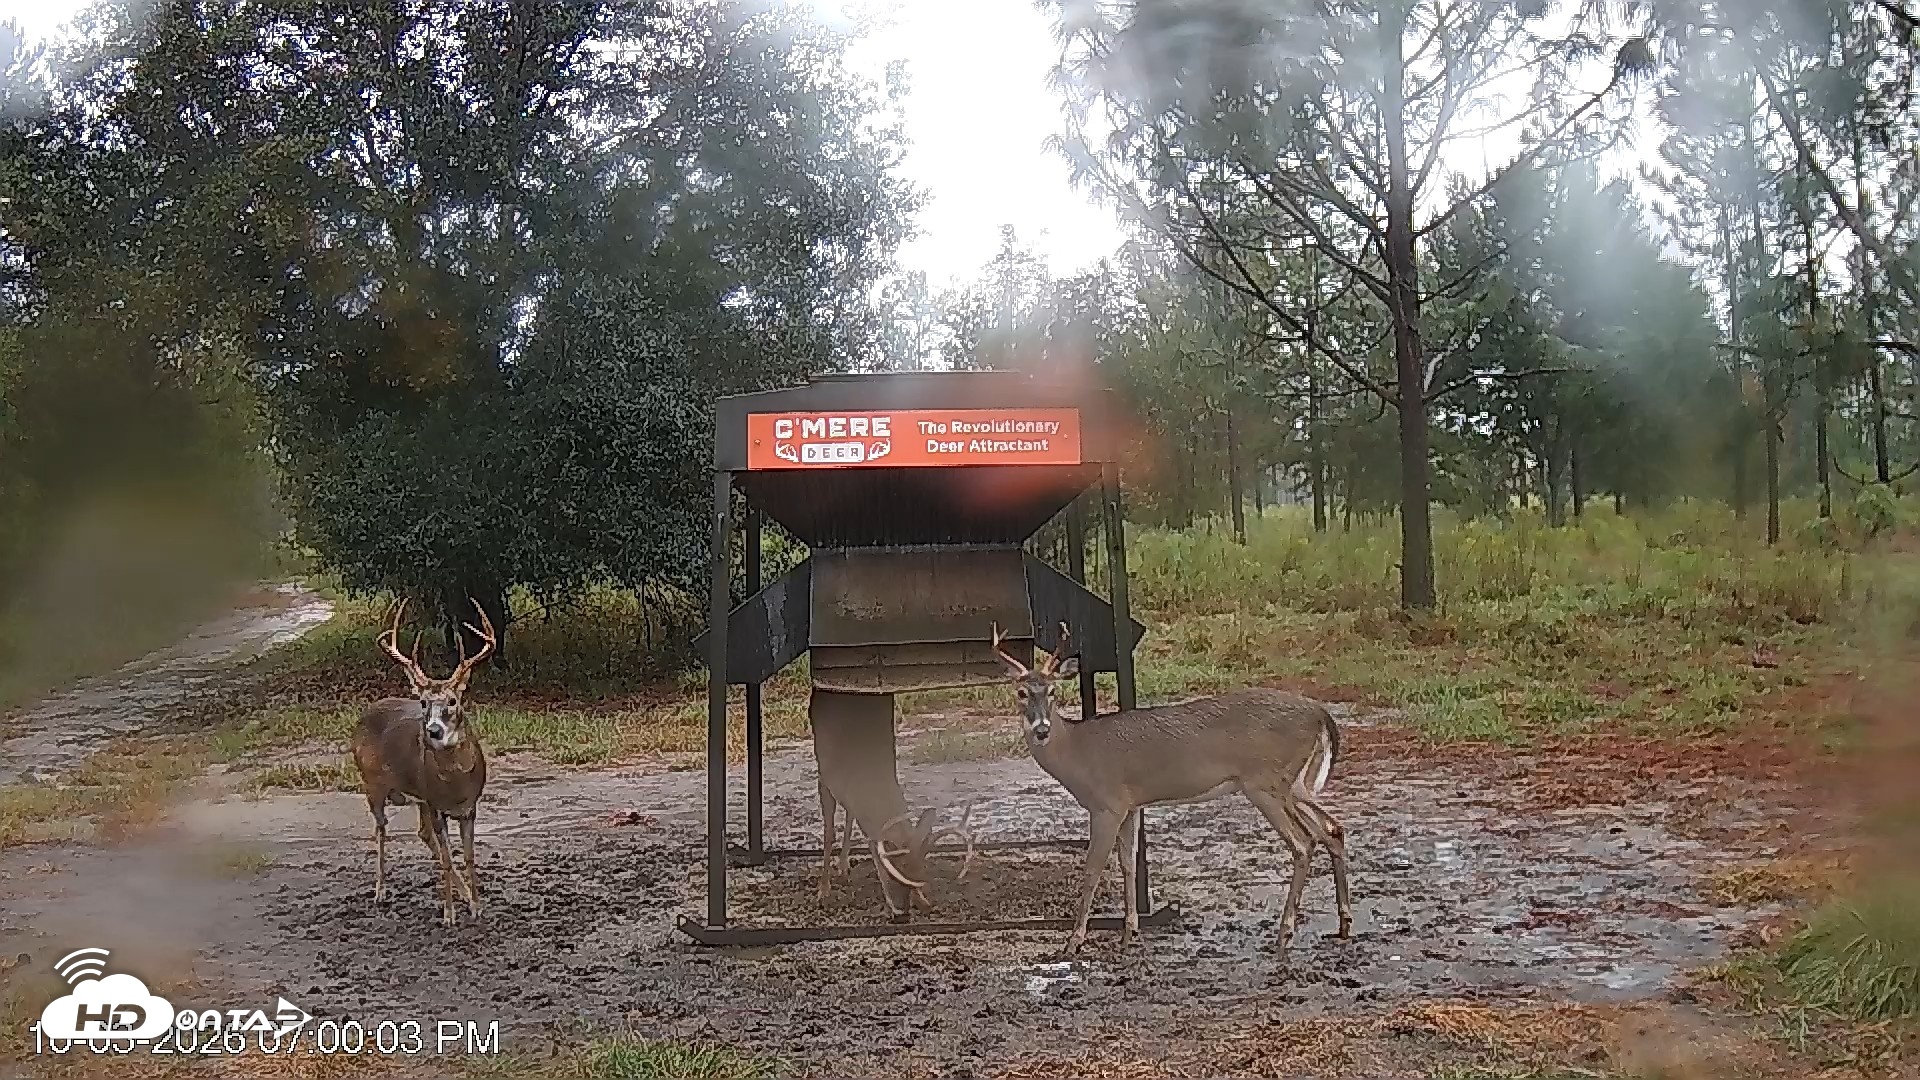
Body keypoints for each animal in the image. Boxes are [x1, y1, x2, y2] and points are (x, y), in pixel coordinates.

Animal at [352, 597, 495, 927]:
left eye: (453, 701)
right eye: (423, 703)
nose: (433, 730)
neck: (455, 786)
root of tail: (364, 713)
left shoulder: (468, 807)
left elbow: (468, 856)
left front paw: (476, 905)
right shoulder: (434, 803)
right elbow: (447, 859)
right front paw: (449, 914)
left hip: (416, 797)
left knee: (421, 833)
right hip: (372, 784)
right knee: (381, 829)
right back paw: (380, 890)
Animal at [809, 688, 976, 917]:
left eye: (921, 870)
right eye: (896, 871)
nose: (904, 911)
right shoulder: (824, 777)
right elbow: (828, 835)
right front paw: (823, 892)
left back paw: (844, 866)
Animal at [990, 622, 1352, 958]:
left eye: (1052, 691)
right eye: (1021, 693)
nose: (1041, 730)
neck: (1077, 753)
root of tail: (1320, 713)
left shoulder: (1106, 803)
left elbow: (1093, 868)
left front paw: (1074, 941)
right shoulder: (1130, 804)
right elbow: (1128, 863)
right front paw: (1129, 933)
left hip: (1264, 781)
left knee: (1304, 843)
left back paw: (1284, 933)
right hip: (1295, 783)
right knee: (1331, 829)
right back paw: (1343, 923)